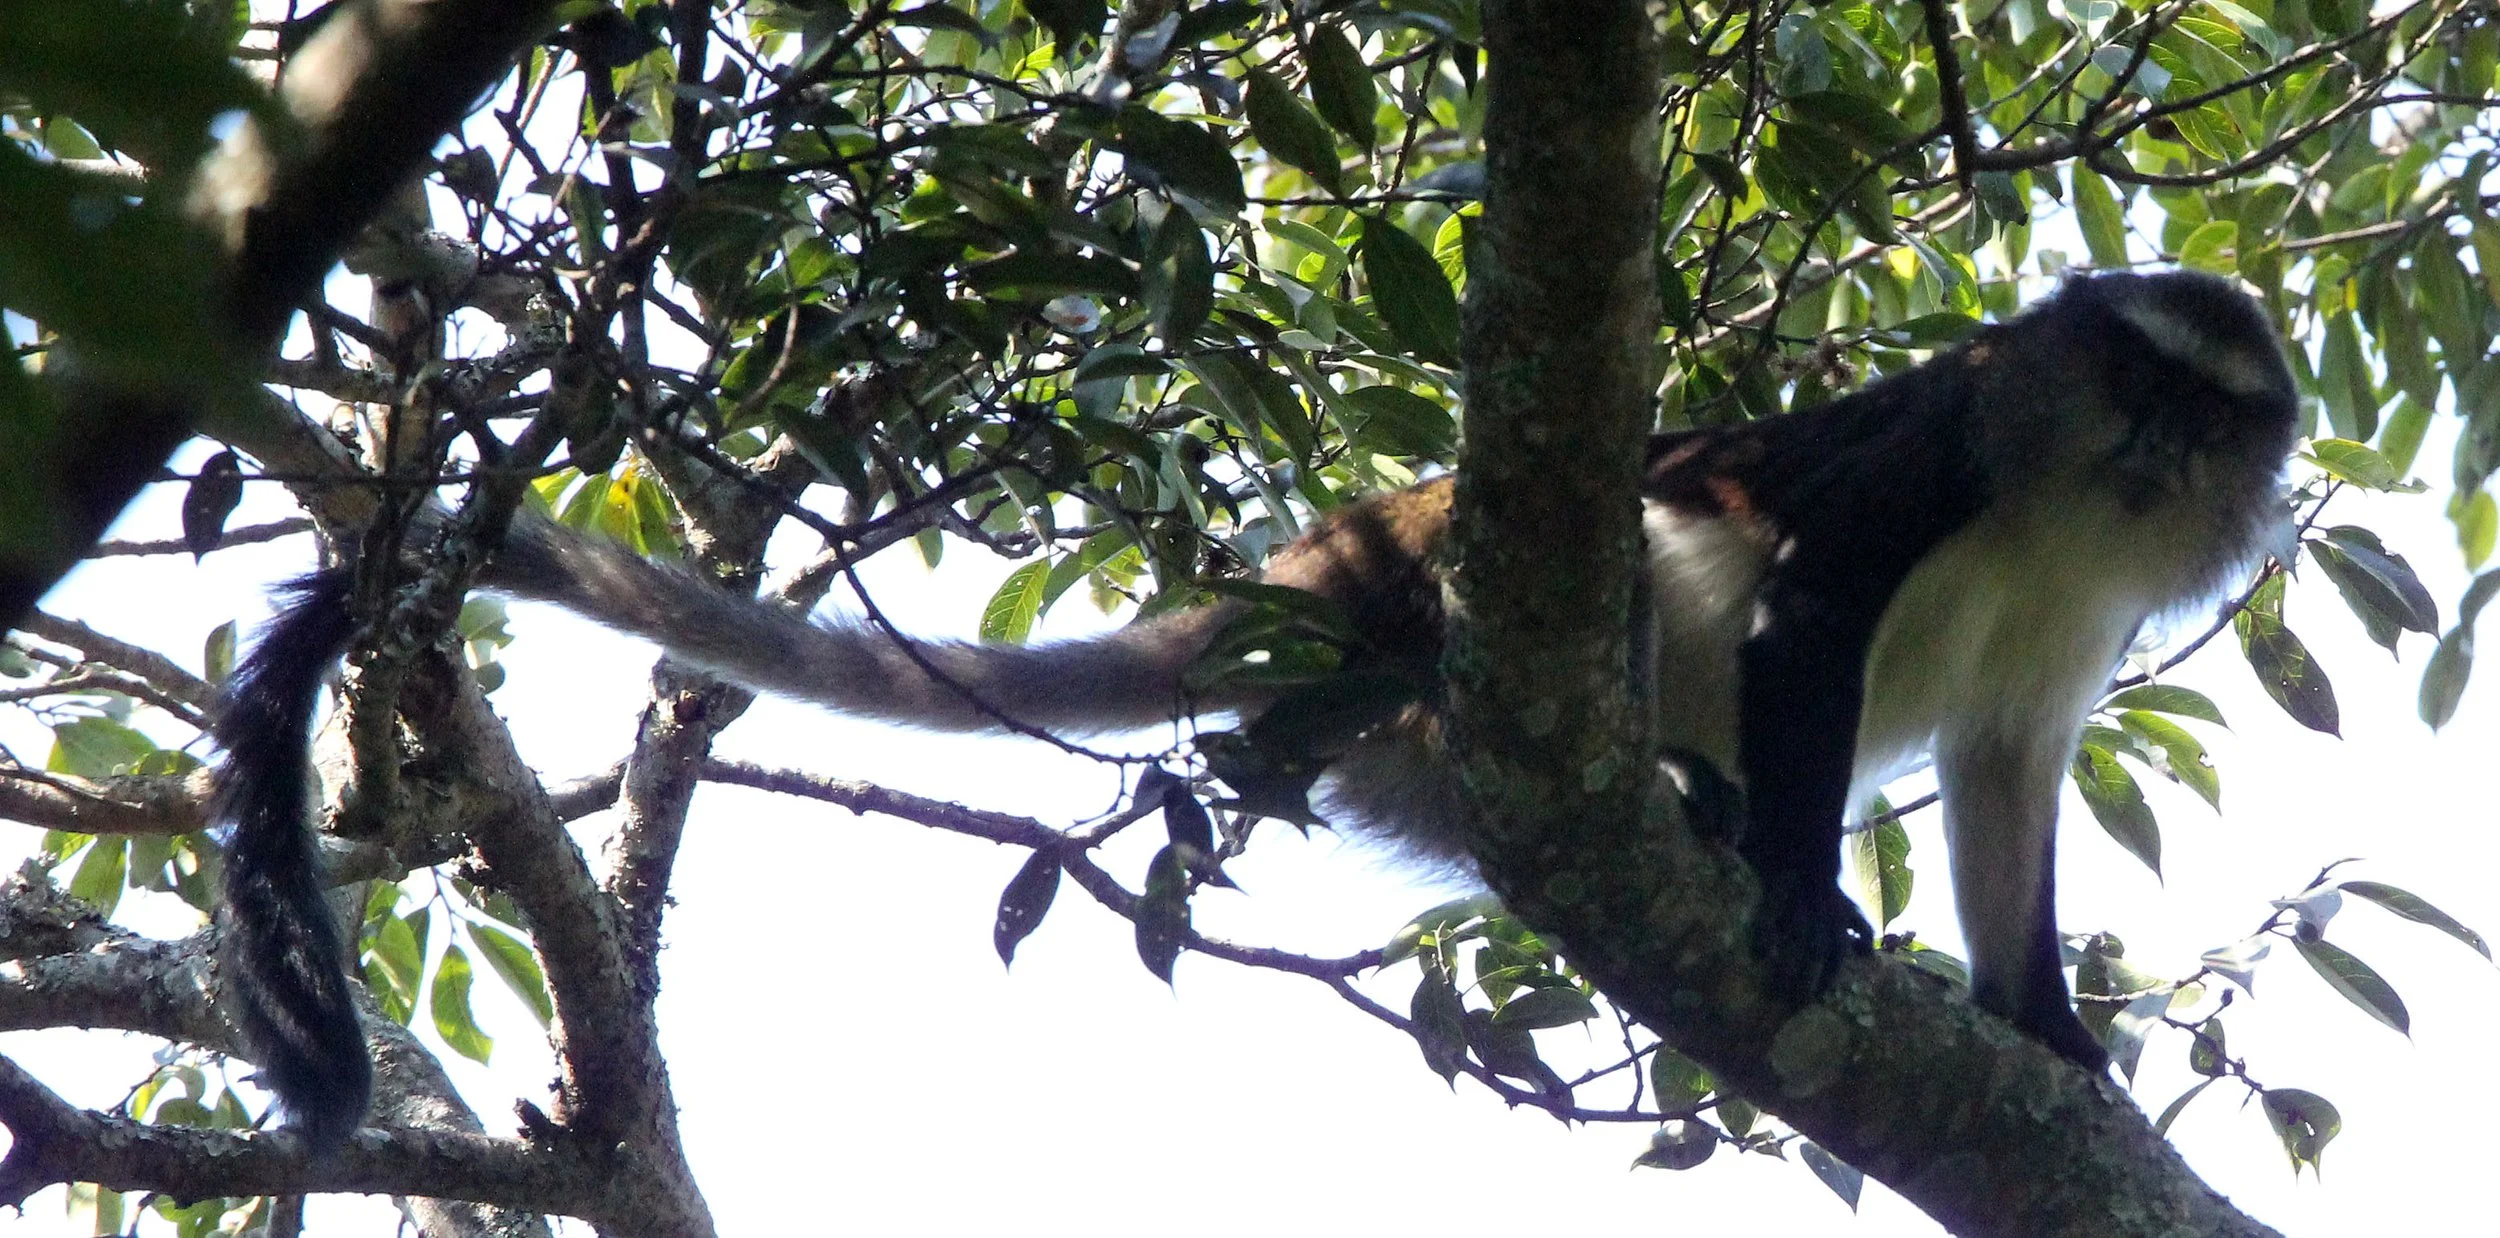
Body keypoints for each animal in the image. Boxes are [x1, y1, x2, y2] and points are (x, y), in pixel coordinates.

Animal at [212, 269, 2297, 1146]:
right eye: (2133, 381)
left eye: (2210, 423)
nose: (2151, 449)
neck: (2065, 499)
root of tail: (1306, 587)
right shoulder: (1943, 451)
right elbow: (1805, 608)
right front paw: (1797, 891)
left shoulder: (2080, 635)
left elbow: (2008, 772)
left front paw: (2048, 1025)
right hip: (1432, 617)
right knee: (1616, 564)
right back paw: (1701, 811)